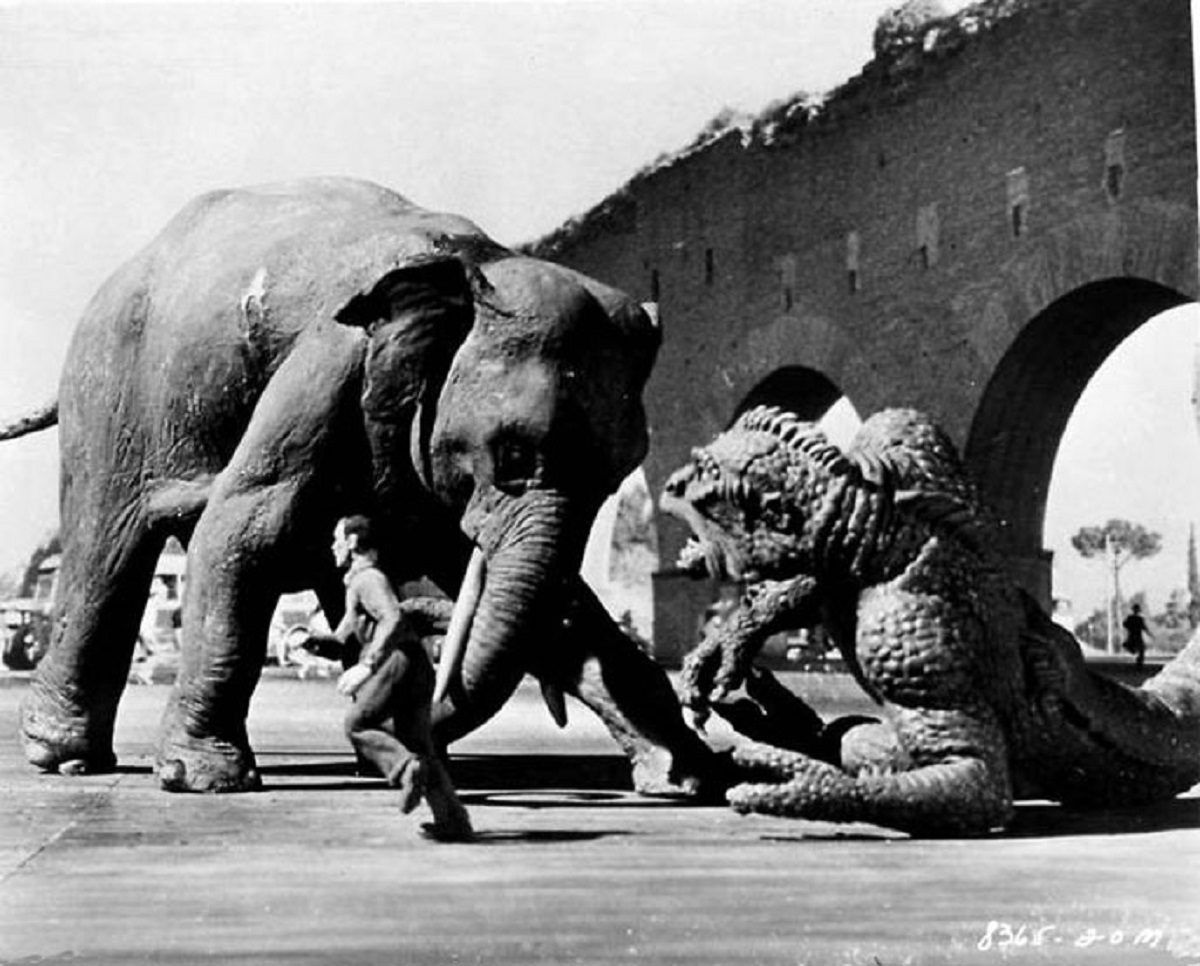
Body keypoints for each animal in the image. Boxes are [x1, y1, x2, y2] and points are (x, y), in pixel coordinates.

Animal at [0, 177, 720, 795]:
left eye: (615, 475)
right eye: (512, 454)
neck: (472, 265)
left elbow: (527, 588)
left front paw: (687, 777)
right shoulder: (332, 361)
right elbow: (247, 529)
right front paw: (203, 777)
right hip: (108, 395)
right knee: (106, 552)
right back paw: (64, 759)